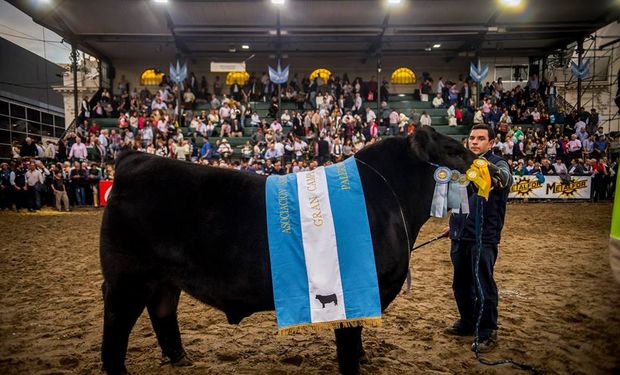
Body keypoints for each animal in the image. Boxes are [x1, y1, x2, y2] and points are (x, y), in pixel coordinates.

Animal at [99, 127, 472, 375]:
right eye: (453, 149)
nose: (482, 159)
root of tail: (134, 158)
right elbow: (349, 339)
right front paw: (354, 362)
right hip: (126, 279)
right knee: (116, 326)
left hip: (163, 278)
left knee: (162, 311)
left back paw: (180, 357)